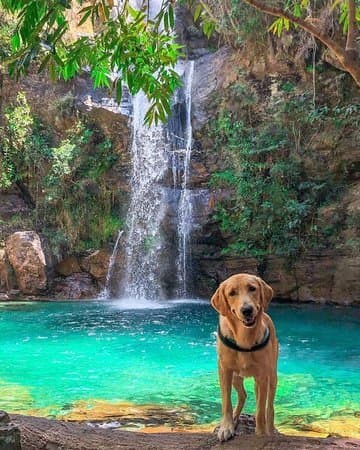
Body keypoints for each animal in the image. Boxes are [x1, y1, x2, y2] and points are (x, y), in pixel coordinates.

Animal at [211, 272, 278, 442]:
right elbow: (226, 402)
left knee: (269, 406)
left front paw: (261, 433)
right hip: (236, 377)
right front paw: (226, 427)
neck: (244, 338)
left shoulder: (262, 375)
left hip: (271, 376)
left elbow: (260, 409)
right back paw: (235, 417)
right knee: (243, 395)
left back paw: (270, 428)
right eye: (232, 293)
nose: (247, 310)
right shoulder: (224, 370)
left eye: (252, 288)